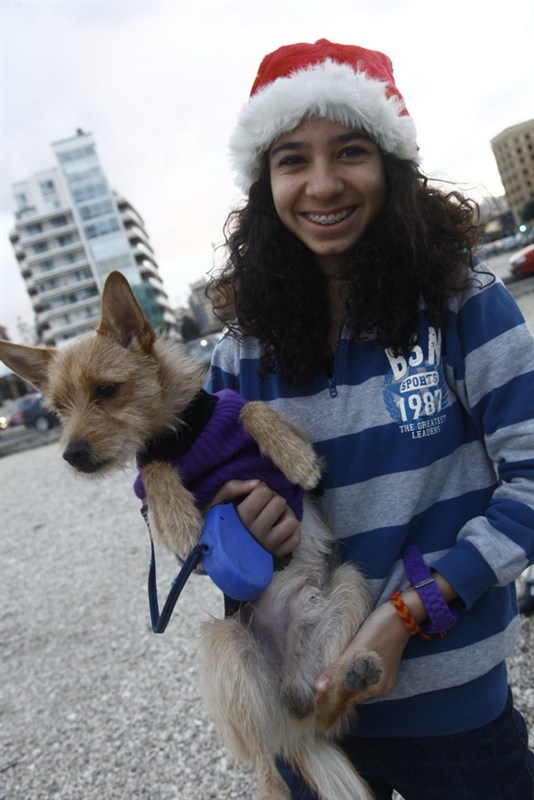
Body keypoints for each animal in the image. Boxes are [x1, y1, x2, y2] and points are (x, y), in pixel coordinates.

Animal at [1, 270, 386, 800]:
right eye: (59, 408)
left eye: (106, 390)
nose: (72, 454)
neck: (183, 433)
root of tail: (291, 710)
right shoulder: (151, 489)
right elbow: (155, 472)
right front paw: (183, 517)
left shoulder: (266, 423)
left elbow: (251, 409)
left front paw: (293, 459)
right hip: (224, 642)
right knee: (265, 761)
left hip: (348, 584)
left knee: (322, 708)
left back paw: (351, 678)